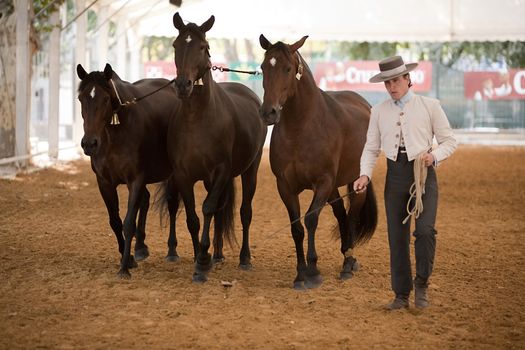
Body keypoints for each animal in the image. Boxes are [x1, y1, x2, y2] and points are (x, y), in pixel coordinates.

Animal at [75, 63, 194, 278]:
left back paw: (171, 250)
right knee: (145, 200)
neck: (114, 133)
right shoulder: (104, 182)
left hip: (172, 175)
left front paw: (124, 267)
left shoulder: (135, 179)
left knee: (171, 205)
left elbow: (128, 222)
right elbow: (115, 221)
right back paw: (140, 247)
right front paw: (128, 257)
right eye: (81, 98)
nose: (89, 144)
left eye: (106, 99)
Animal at [167, 12, 266, 284]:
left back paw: (244, 259)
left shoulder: (221, 171)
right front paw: (199, 257)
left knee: (244, 212)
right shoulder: (183, 175)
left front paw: (202, 261)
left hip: (249, 170)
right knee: (221, 211)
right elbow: (193, 217)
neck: (197, 120)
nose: (183, 85)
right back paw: (218, 254)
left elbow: (208, 208)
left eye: (203, 47)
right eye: (176, 45)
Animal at [256, 34, 374, 290]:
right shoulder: (285, 186)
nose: (268, 112)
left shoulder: (323, 182)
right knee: (341, 213)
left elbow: (311, 219)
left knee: (352, 216)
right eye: (263, 68)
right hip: (334, 187)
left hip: (355, 182)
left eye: (288, 68)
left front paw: (313, 271)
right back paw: (346, 254)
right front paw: (300, 273)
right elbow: (296, 227)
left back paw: (348, 264)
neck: (301, 128)